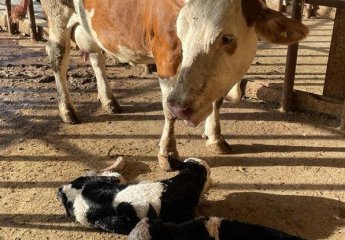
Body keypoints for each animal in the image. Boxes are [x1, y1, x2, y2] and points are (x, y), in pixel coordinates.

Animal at [14, 0, 308, 170]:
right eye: (181, 33)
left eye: (227, 38)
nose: (183, 107)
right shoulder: (165, 54)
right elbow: (167, 109)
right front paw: (167, 154)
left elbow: (217, 101)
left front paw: (215, 136)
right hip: (58, 14)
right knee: (58, 56)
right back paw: (67, 110)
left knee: (97, 57)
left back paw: (109, 101)